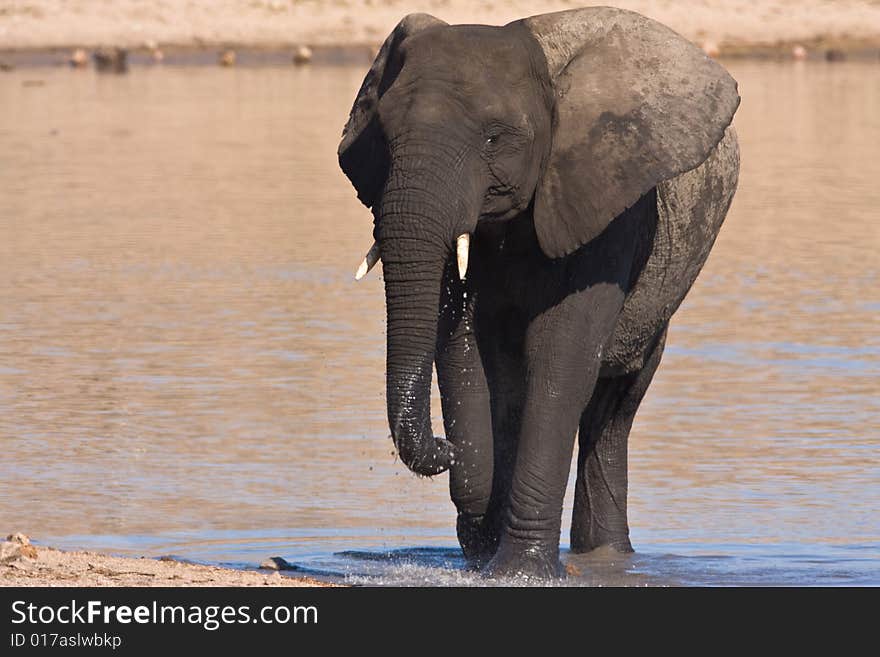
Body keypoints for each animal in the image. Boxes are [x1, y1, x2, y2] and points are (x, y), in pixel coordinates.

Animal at [340, 7, 740, 576]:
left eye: (494, 139)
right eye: (385, 137)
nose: (443, 446)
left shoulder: (609, 201)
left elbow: (560, 359)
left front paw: (519, 572)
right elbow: (463, 346)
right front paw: (484, 542)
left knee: (613, 411)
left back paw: (605, 560)